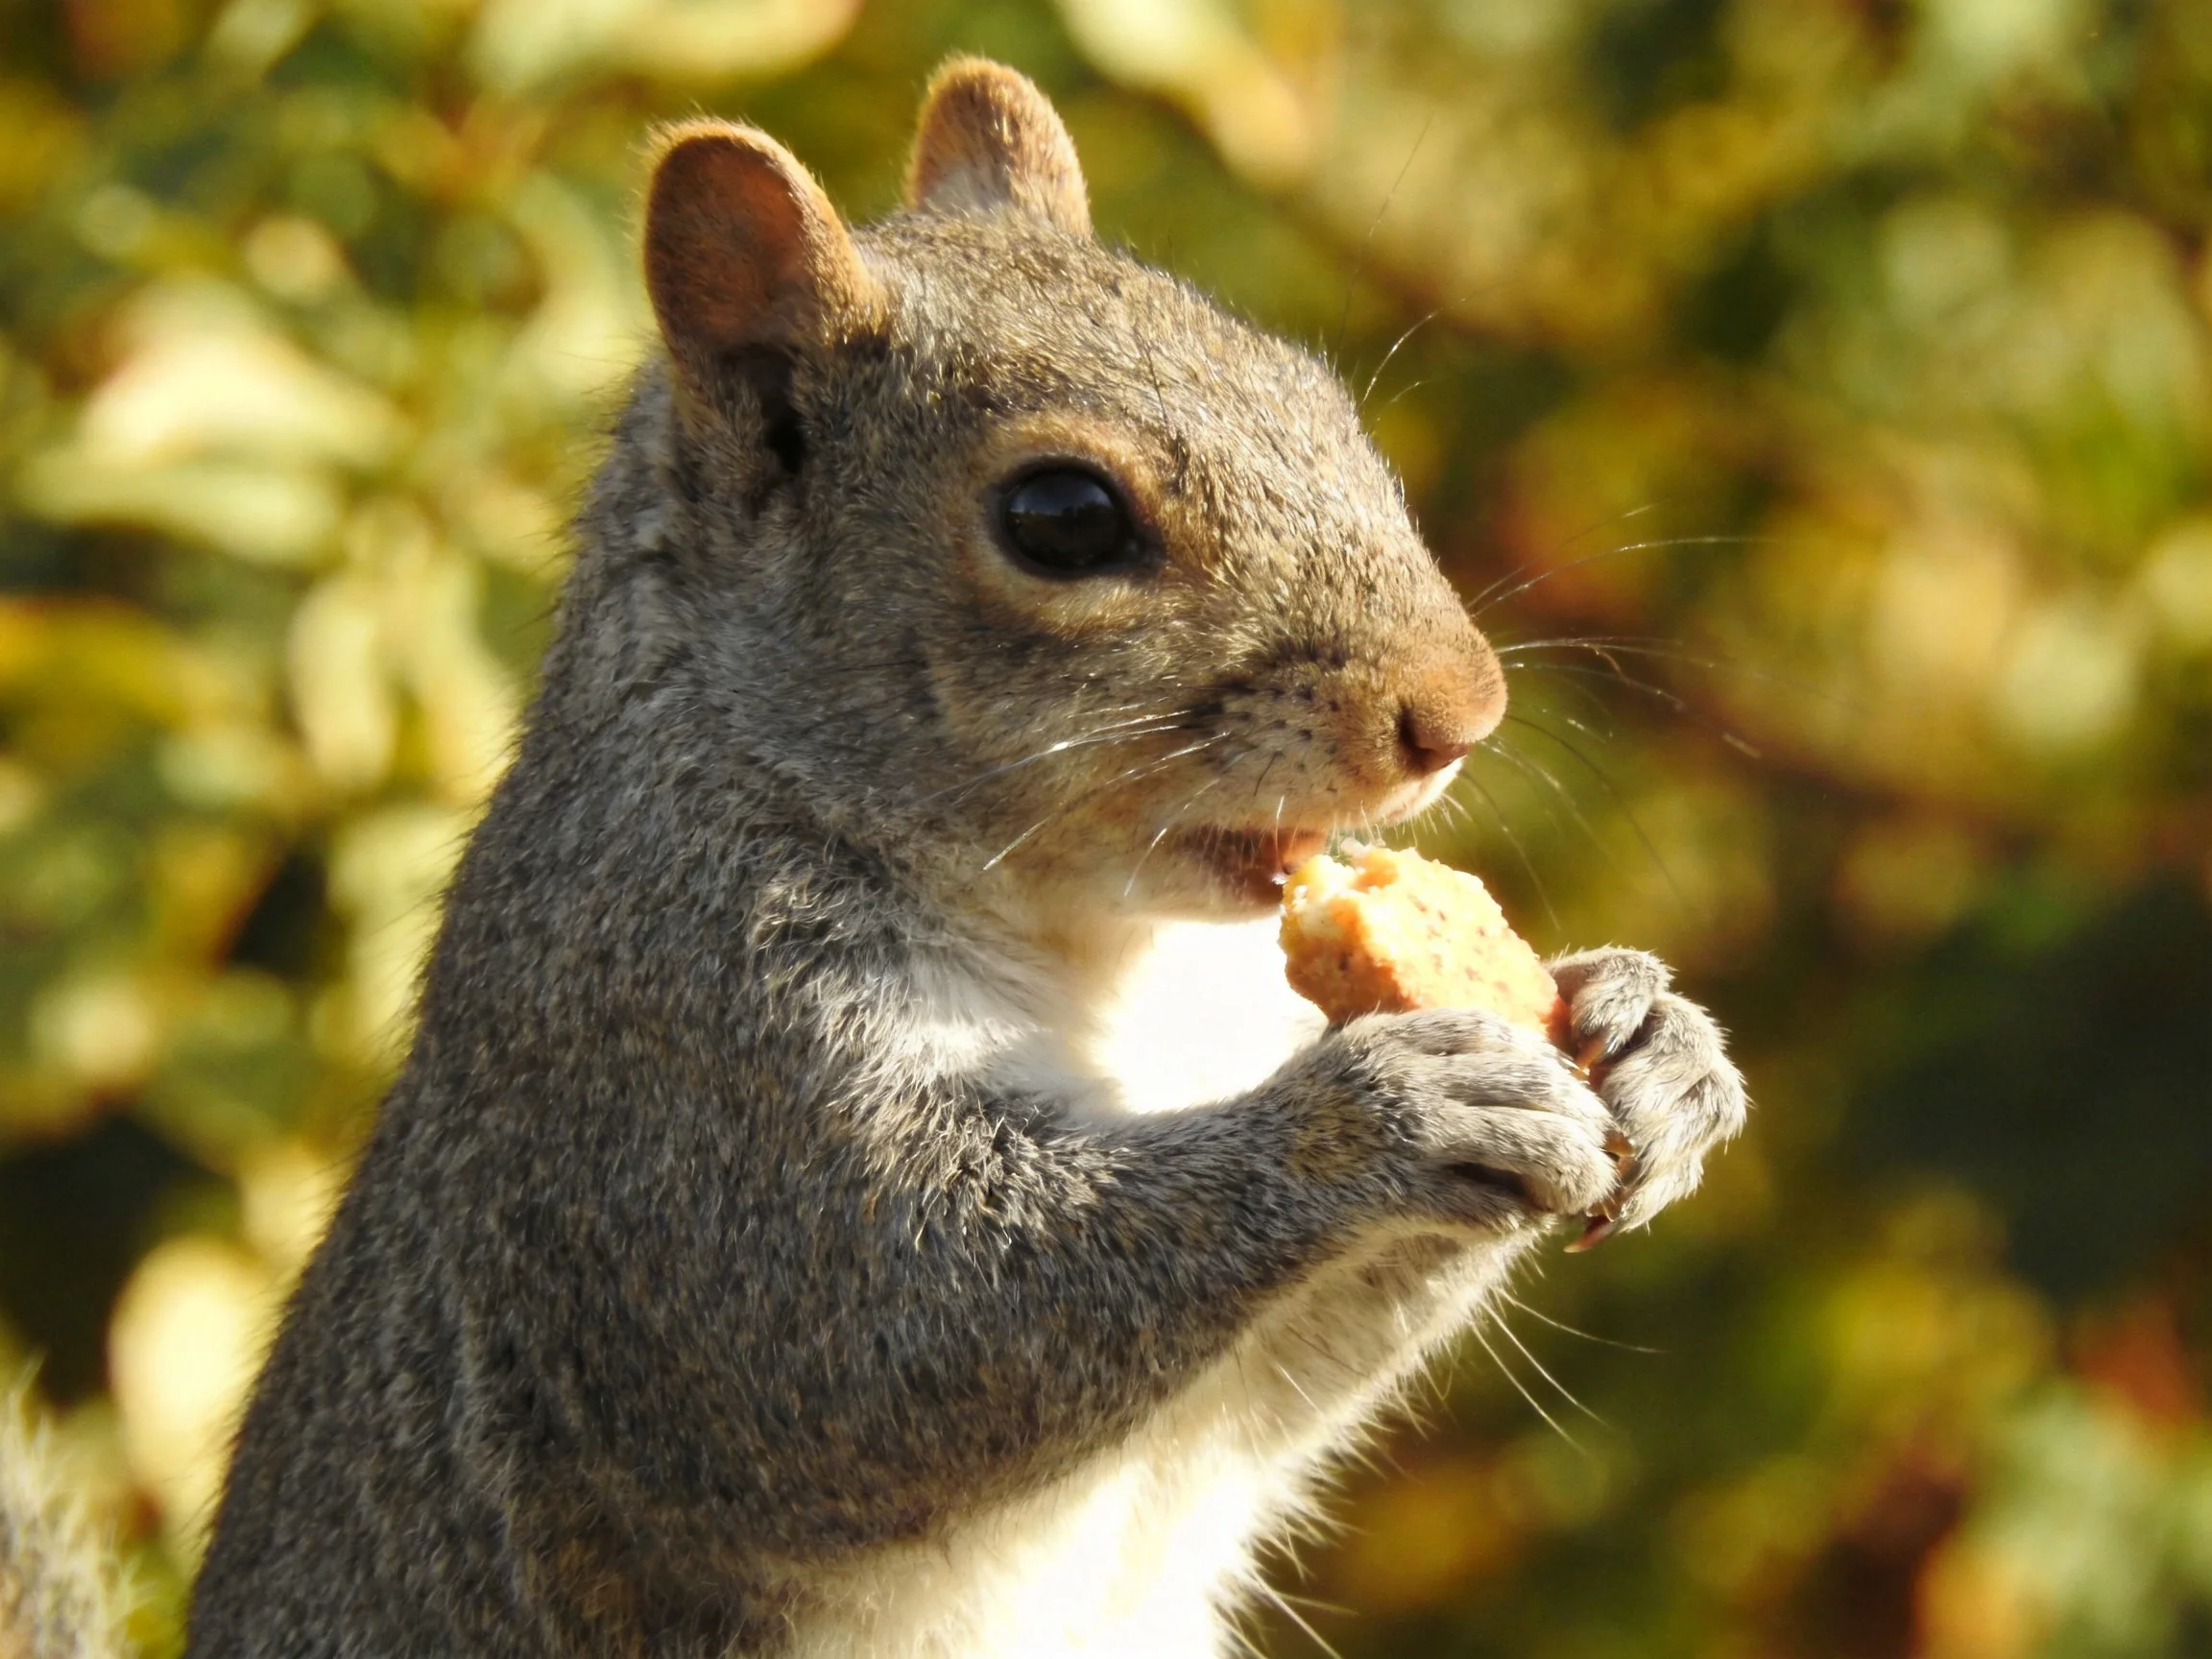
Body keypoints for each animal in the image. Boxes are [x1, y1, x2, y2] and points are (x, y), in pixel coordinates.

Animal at [3, 57, 1746, 1659]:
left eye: (1319, 399)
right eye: (1060, 514)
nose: (1460, 710)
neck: (1114, 955)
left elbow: (1273, 1395)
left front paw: (1647, 1037)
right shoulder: (671, 1079)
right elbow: (883, 1338)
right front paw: (1387, 1110)